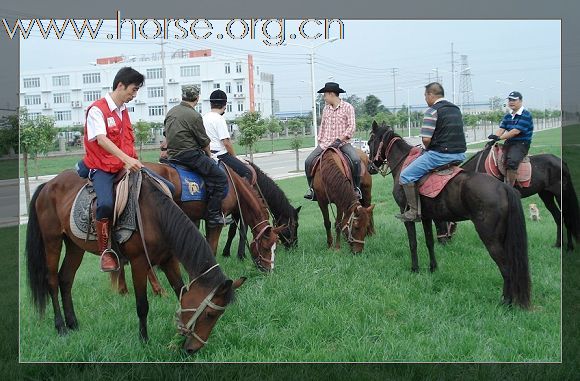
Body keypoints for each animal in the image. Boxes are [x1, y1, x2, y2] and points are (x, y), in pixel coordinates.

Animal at [24, 169, 246, 354]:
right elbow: (142, 305)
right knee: (52, 281)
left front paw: (178, 338)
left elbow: (180, 292)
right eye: (209, 314)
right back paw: (61, 326)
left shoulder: (169, 260)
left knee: (66, 279)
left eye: (217, 316)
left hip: (74, 246)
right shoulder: (139, 263)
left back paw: (73, 323)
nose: (193, 349)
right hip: (52, 241)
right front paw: (144, 340)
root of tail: (48, 185)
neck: (154, 216)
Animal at [370, 121, 532, 308]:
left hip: (490, 237)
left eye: (370, 141)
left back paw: (506, 301)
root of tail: (504, 187)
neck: (404, 162)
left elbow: (413, 243)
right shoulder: (426, 217)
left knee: (505, 267)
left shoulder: (407, 215)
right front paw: (432, 268)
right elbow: (429, 242)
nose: (370, 167)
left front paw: (414, 269)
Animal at [440, 144, 580, 251]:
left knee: (566, 216)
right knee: (558, 216)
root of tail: (560, 161)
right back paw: (558, 245)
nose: (444, 242)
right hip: (546, 195)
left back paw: (569, 247)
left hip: (560, 194)